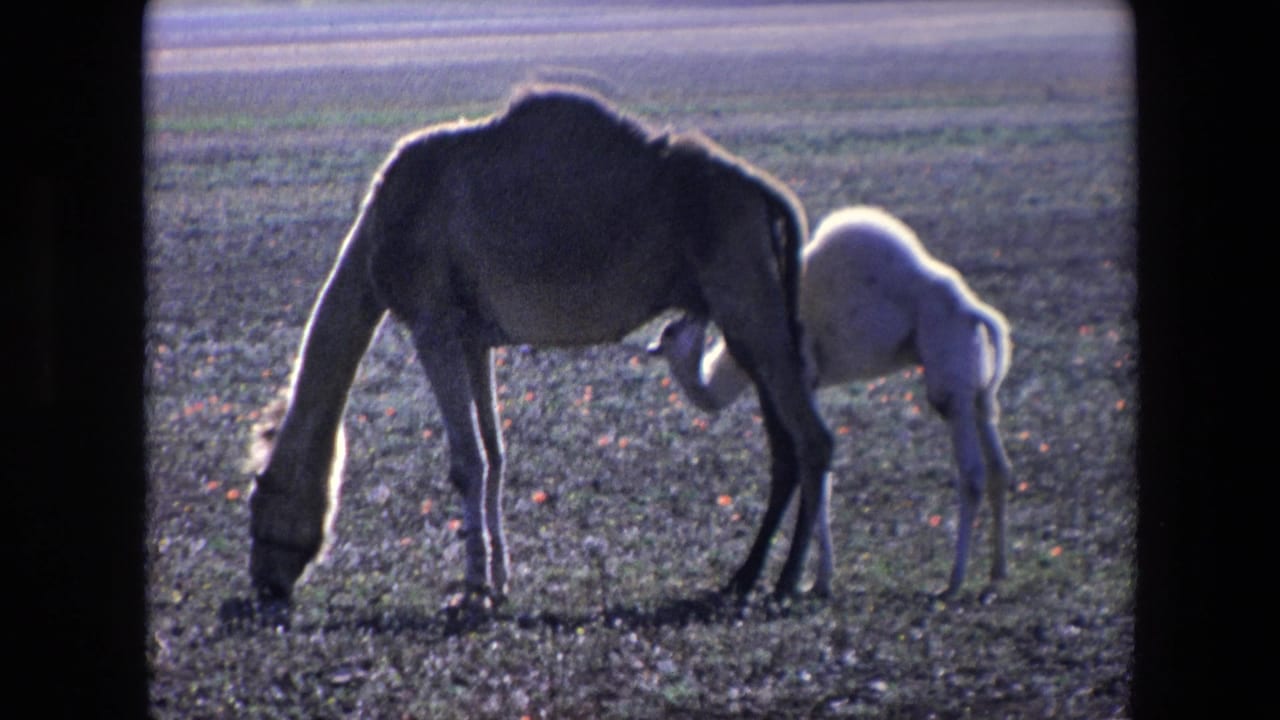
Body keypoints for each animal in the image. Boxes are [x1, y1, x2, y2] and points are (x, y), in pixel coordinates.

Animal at [246, 84, 833, 613]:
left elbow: (466, 460)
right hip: (747, 311)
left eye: (257, 500)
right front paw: (499, 582)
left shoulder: (432, 324)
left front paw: (471, 590)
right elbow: (495, 454)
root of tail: (767, 194)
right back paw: (749, 577)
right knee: (783, 444)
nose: (263, 583)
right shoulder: (473, 337)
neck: (376, 237)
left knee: (812, 438)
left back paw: (793, 581)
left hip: (744, 294)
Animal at [648, 206, 1012, 599]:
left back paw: (952, 583)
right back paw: (996, 573)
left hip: (949, 376)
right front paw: (818, 579)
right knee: (998, 464)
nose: (693, 314)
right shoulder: (809, 382)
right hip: (977, 387)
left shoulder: (802, 374)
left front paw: (815, 580)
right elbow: (822, 473)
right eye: (671, 330)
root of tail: (974, 312)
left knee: (971, 472)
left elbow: (816, 468)